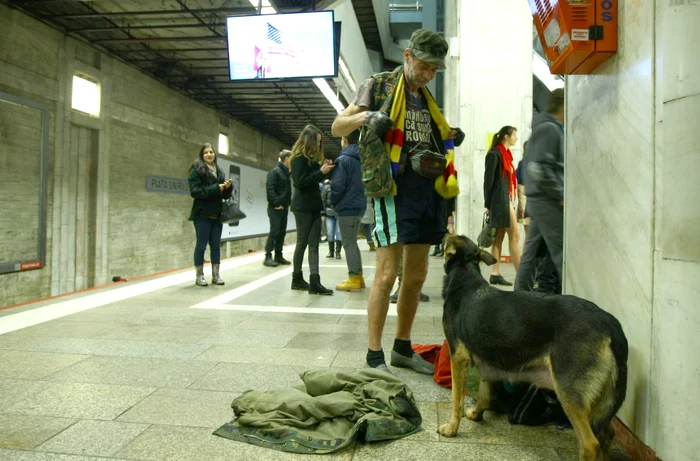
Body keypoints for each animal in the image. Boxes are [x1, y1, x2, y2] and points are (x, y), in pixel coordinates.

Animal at [438, 235, 628, 458]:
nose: (443, 234)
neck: (465, 275)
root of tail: (610, 323)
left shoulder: (458, 357)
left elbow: (456, 399)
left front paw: (452, 428)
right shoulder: (488, 362)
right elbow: (483, 395)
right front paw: (476, 415)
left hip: (568, 392)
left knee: (590, 443)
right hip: (599, 400)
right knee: (608, 433)